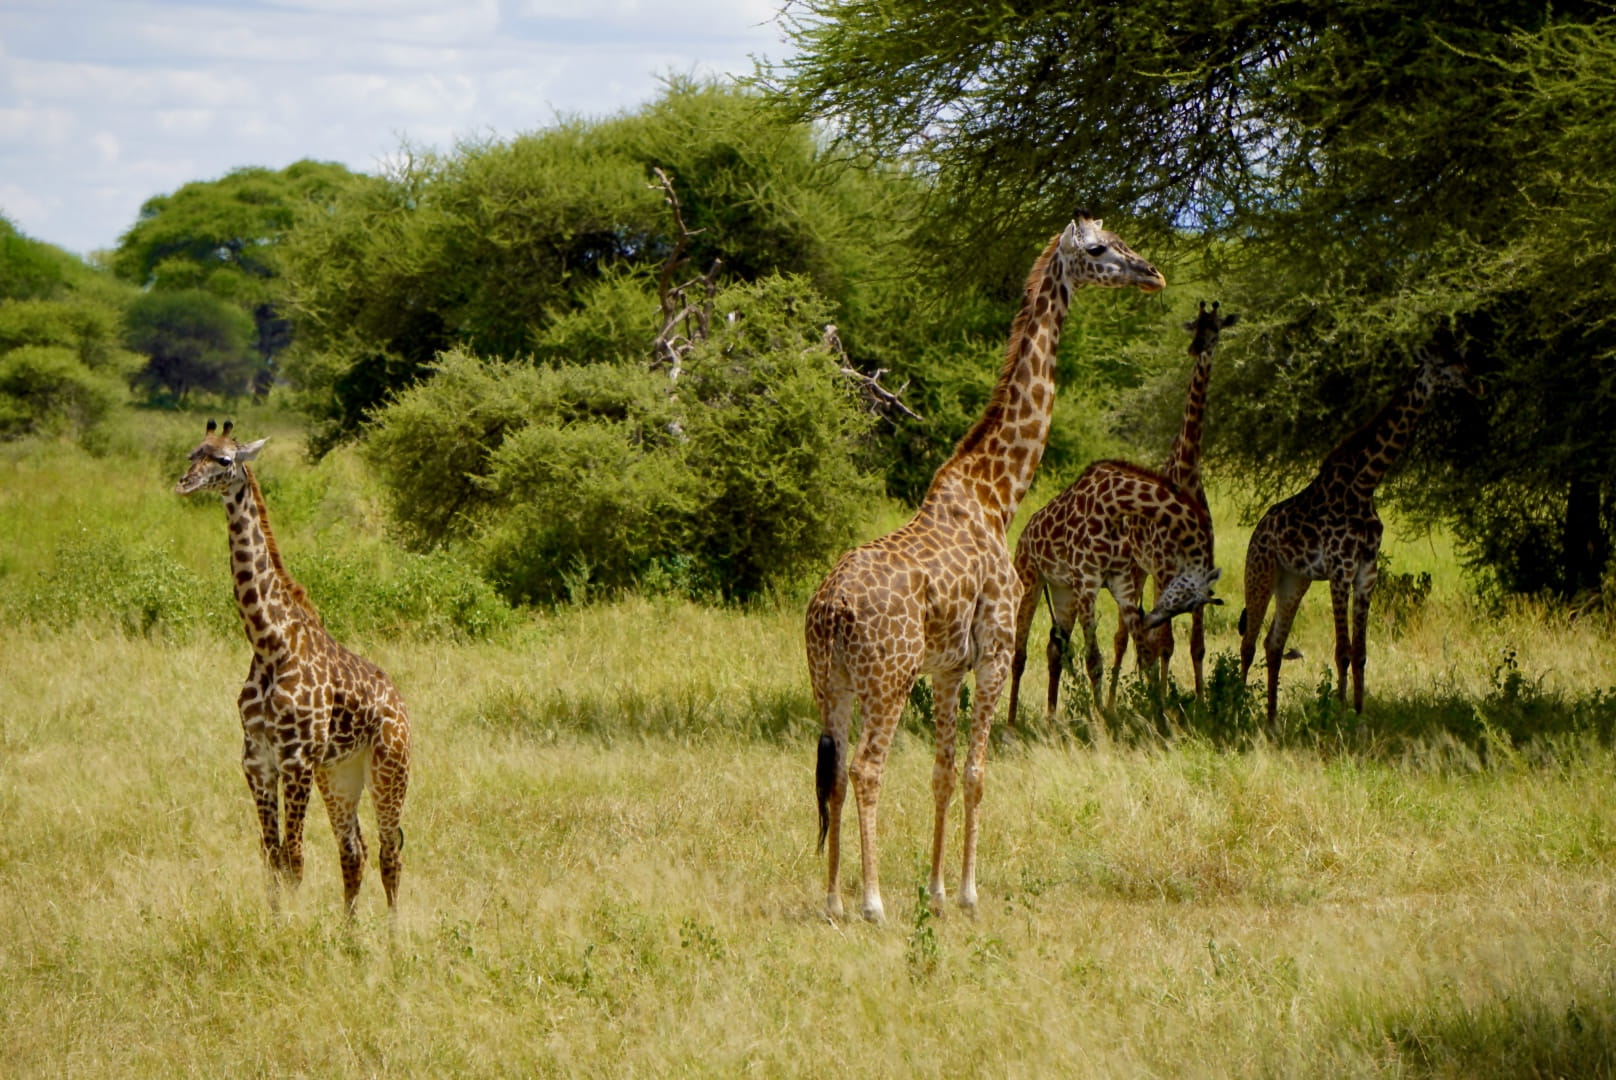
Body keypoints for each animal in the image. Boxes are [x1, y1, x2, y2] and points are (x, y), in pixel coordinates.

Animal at [175, 420, 411, 916]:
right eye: (193, 453)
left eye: (224, 459)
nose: (184, 484)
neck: (268, 640)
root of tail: (401, 704)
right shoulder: (257, 759)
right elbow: (270, 853)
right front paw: (274, 922)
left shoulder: (296, 758)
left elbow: (295, 856)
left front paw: (294, 926)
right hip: (339, 773)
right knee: (354, 849)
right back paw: (349, 929)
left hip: (389, 767)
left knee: (389, 850)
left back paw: (394, 931)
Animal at [806, 215, 1165, 923]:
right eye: (1098, 249)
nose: (1153, 274)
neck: (997, 493)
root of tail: (832, 609)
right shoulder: (995, 649)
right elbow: (977, 772)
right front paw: (970, 893)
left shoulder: (948, 668)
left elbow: (943, 771)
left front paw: (938, 890)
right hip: (887, 680)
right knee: (865, 770)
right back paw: (871, 901)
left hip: (828, 682)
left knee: (831, 775)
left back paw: (832, 900)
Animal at [1006, 460, 1222, 724]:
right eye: (1188, 602)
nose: (1151, 619)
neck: (1114, 506)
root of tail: (1024, 534)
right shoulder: (1087, 581)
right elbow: (1094, 661)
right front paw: (1102, 719)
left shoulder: (1122, 582)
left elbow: (1144, 653)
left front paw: (1159, 714)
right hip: (1030, 577)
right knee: (1019, 653)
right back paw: (1011, 722)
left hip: (1062, 590)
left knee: (1055, 649)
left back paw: (1051, 720)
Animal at [1111, 300, 1237, 696]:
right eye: (1194, 326)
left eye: (1216, 328)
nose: (1197, 349)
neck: (1187, 470)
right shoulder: (1166, 566)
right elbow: (1165, 642)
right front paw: (1165, 700)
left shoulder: (1198, 570)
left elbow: (1197, 645)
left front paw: (1199, 701)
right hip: (1136, 567)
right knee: (1124, 636)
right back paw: (1111, 701)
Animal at [1238, 348, 1482, 725]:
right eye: (1443, 365)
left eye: (1463, 359)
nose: (1476, 383)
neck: (1366, 483)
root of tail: (1258, 530)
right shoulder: (1341, 569)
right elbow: (1342, 650)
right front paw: (1336, 713)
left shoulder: (1367, 573)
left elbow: (1361, 651)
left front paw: (1358, 712)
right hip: (1260, 572)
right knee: (1248, 643)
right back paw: (1233, 707)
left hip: (1293, 581)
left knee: (1273, 643)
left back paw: (1272, 717)